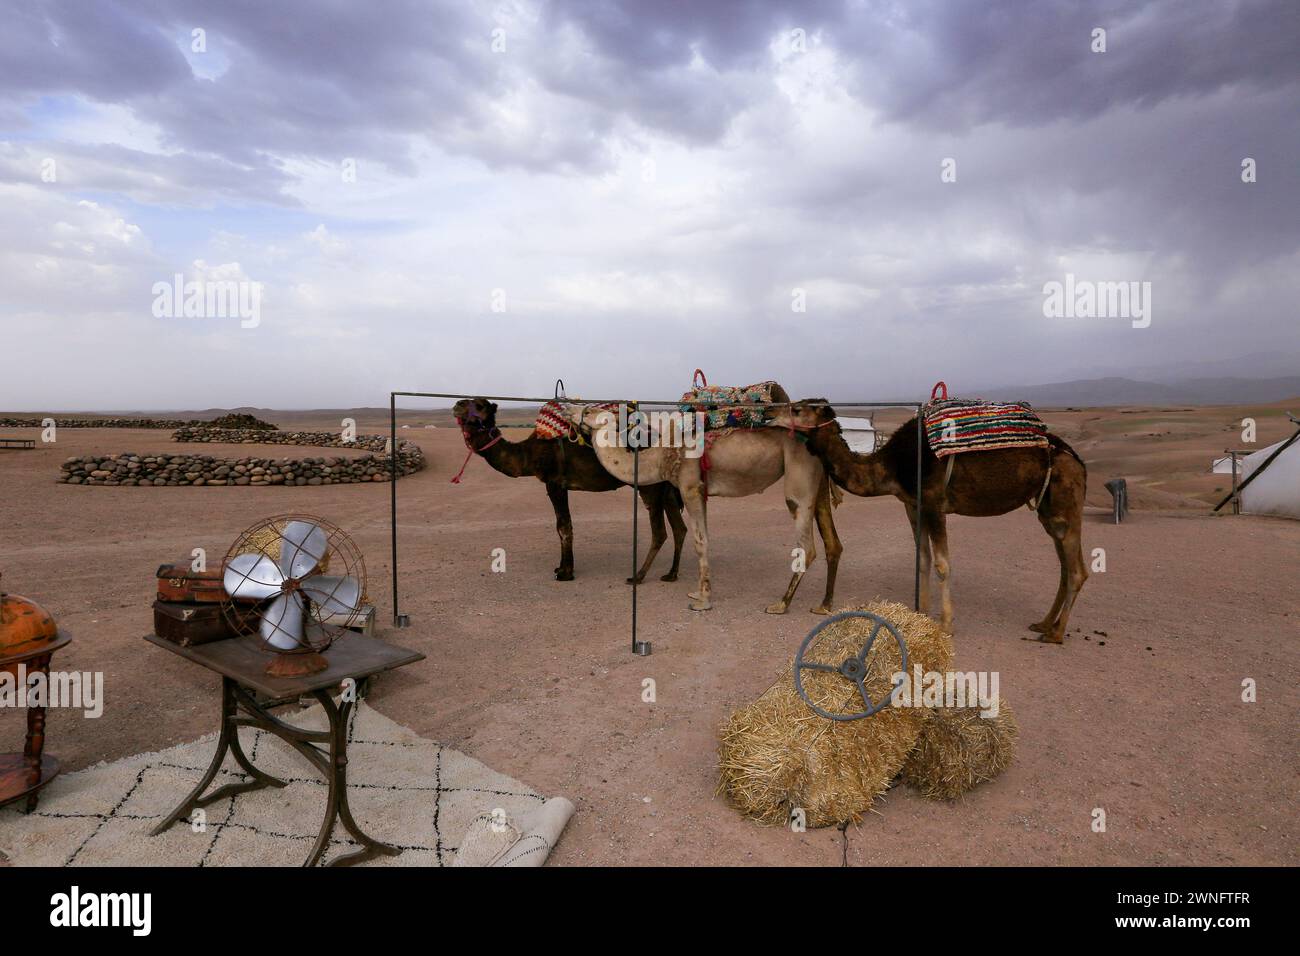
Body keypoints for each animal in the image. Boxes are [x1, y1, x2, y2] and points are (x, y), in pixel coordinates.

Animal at [452, 395, 686, 582]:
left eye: (480, 405)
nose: (457, 404)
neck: (528, 454)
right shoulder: (556, 485)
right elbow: (561, 526)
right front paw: (561, 568)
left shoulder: (555, 483)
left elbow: (564, 527)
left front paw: (565, 573)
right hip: (666, 487)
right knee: (679, 528)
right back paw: (671, 574)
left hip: (650, 486)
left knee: (660, 532)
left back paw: (638, 576)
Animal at [559, 403, 842, 613]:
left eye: (590, 410)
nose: (566, 408)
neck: (662, 455)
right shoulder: (702, 492)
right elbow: (704, 537)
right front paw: (697, 592)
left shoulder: (690, 488)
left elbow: (700, 541)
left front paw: (703, 601)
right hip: (818, 482)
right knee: (832, 543)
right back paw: (823, 605)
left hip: (798, 478)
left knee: (807, 546)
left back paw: (781, 604)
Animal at [780, 400, 1086, 647]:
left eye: (797, 409)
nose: (771, 415)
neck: (893, 465)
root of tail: (1076, 459)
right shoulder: (913, 504)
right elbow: (924, 558)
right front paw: (922, 613)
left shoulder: (934, 501)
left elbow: (942, 564)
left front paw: (946, 624)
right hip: (1048, 510)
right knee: (1064, 565)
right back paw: (1043, 623)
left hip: (1065, 503)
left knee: (1077, 571)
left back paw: (1055, 633)